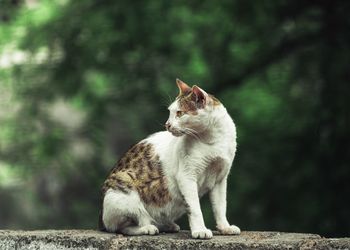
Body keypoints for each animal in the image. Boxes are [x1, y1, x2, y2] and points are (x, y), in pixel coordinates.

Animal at [99, 79, 241, 239]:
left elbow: (220, 207)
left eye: (179, 113)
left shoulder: (220, 179)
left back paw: (166, 225)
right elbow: (195, 208)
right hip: (124, 193)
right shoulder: (186, 176)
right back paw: (148, 227)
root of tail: (101, 220)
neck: (213, 140)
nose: (167, 124)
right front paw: (200, 230)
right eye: (170, 112)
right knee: (123, 227)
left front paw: (225, 227)